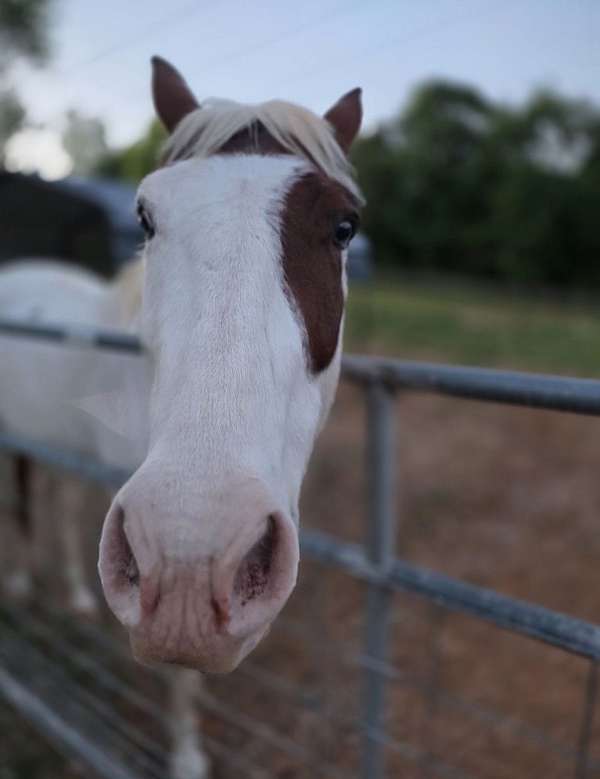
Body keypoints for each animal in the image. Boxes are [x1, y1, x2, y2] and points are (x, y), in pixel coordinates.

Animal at [0, 56, 363, 777]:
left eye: (345, 227)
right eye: (145, 216)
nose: (197, 544)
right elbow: (179, 675)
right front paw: (188, 754)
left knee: (53, 502)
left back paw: (73, 595)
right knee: (24, 501)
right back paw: (24, 584)